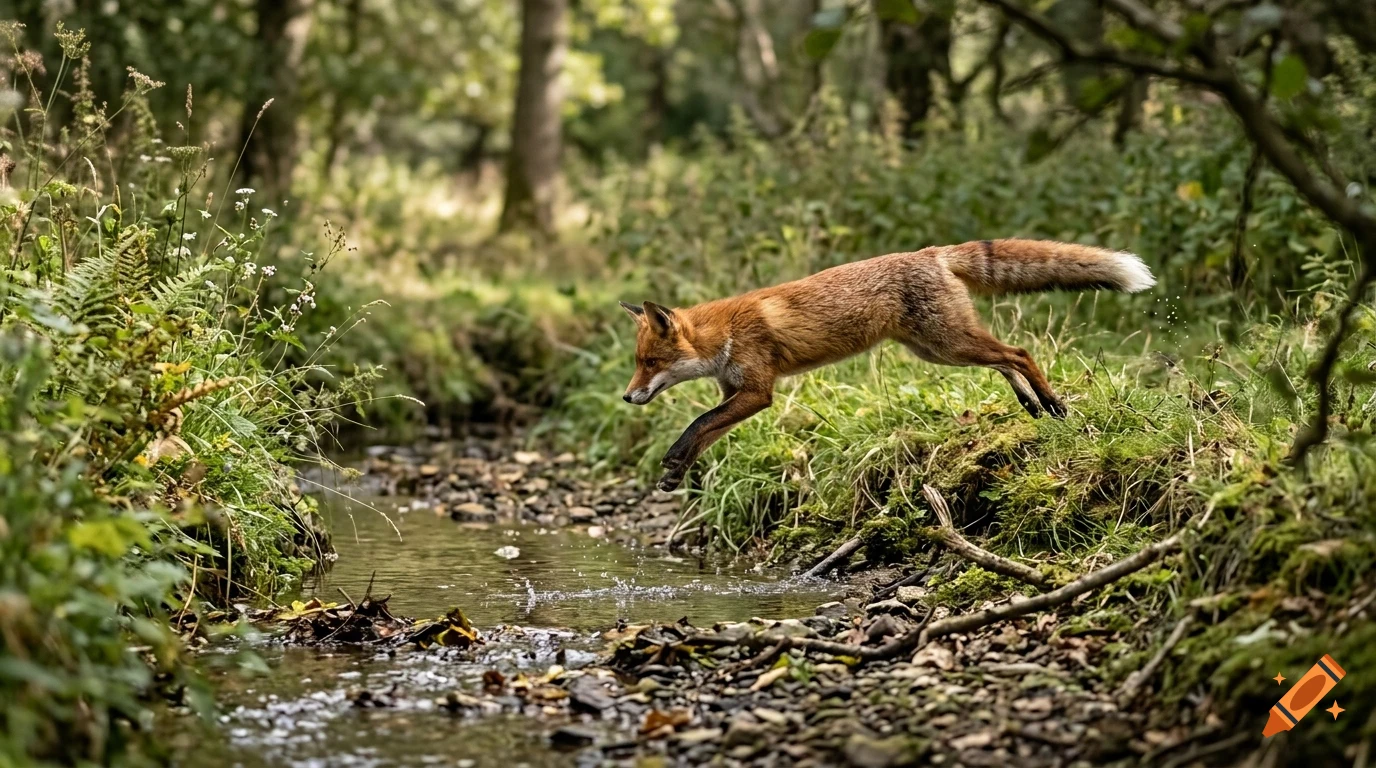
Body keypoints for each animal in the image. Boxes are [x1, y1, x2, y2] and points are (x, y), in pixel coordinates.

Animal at [619, 239, 1155, 492]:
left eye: (650, 362)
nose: (626, 397)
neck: (724, 332)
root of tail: (930, 252)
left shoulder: (757, 392)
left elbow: (698, 422)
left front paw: (675, 458)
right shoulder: (736, 393)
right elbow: (706, 432)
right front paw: (676, 471)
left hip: (948, 343)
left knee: (1019, 353)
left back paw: (1052, 403)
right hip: (939, 349)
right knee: (1006, 361)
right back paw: (1031, 405)